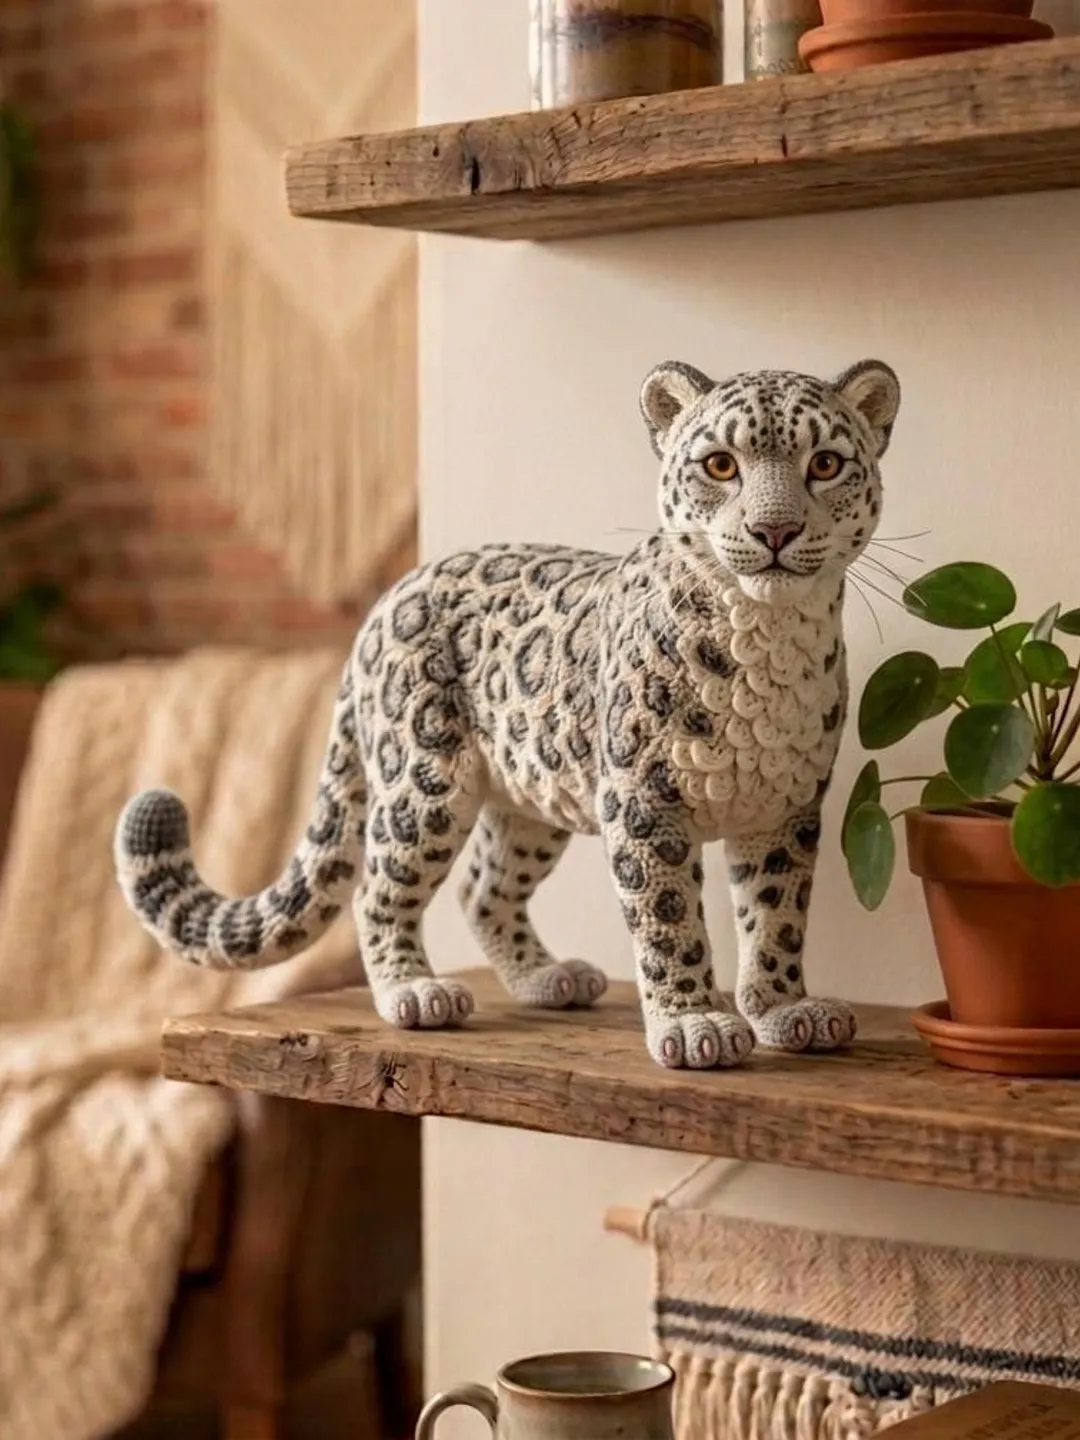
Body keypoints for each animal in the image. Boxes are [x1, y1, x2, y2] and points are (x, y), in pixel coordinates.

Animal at [115, 357, 901, 1070]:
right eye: (720, 464)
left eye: (825, 463)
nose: (775, 530)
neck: (769, 643)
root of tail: (392, 597)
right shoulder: (644, 802)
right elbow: (669, 915)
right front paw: (693, 1023)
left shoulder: (788, 807)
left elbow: (776, 914)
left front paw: (783, 1009)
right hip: (423, 784)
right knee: (379, 887)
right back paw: (415, 993)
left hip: (529, 798)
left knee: (482, 886)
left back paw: (547, 978)